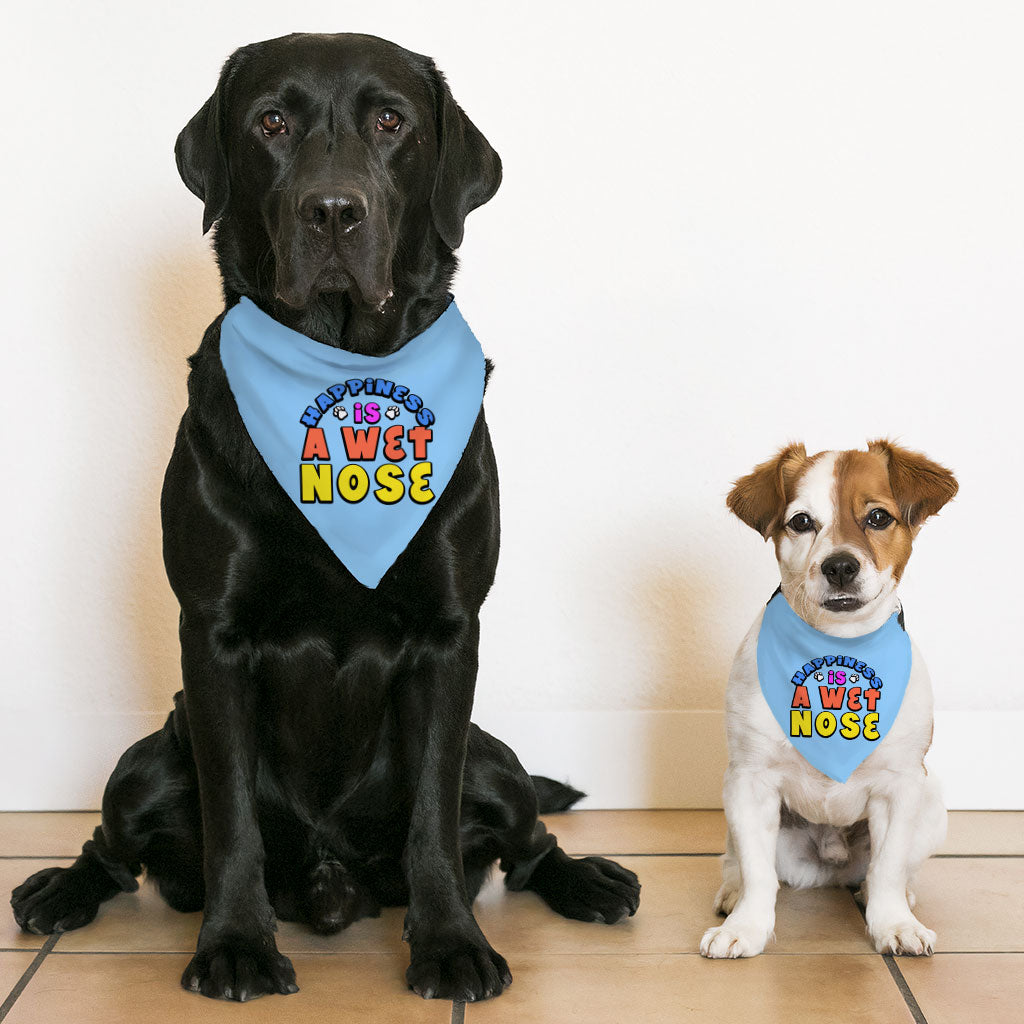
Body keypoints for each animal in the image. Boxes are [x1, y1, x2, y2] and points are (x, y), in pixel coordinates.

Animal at [9, 29, 638, 999]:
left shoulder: (450, 635)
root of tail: (333, 876)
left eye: (391, 122)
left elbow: (432, 818)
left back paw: (589, 881)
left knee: (528, 834)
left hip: (493, 760)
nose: (333, 211)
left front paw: (450, 945)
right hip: (146, 761)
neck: (342, 375)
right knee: (112, 844)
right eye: (271, 122)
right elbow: (232, 817)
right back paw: (60, 890)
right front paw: (234, 944)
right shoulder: (214, 636)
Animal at [700, 440, 954, 958]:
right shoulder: (750, 782)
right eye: (801, 522)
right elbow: (758, 873)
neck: (837, 652)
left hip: (932, 802)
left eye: (878, 517)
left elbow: (888, 868)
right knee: (739, 862)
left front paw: (893, 923)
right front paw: (746, 927)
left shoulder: (900, 787)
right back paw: (732, 892)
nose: (839, 565)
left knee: (886, 871)